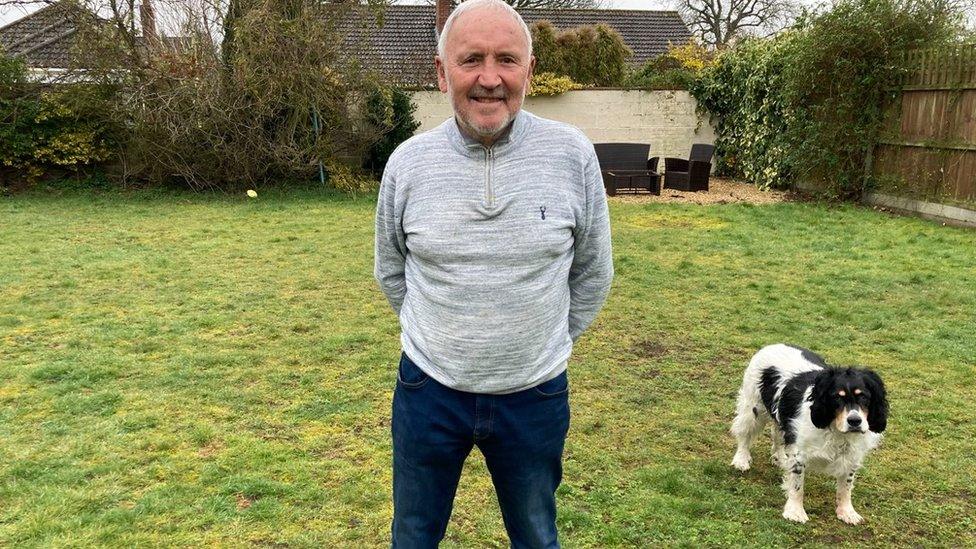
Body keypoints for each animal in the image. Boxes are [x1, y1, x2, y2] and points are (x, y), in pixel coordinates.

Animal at [732, 342, 884, 524]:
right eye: (837, 397)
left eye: (864, 397)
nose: (855, 421)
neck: (835, 430)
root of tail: (772, 344)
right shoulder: (799, 453)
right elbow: (797, 485)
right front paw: (795, 511)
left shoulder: (851, 455)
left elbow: (846, 486)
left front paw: (847, 512)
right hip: (753, 407)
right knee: (744, 433)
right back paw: (741, 459)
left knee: (777, 433)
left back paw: (780, 457)